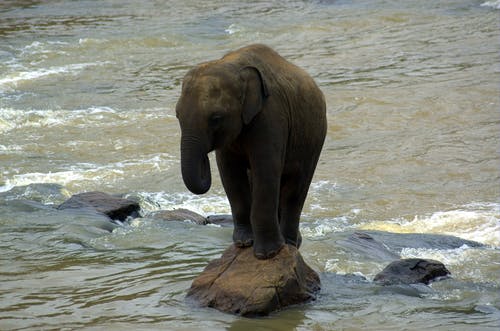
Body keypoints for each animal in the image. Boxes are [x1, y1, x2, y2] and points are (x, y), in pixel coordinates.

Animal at [177, 43, 328, 260]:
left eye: (216, 118)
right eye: (177, 115)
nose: (204, 159)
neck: (233, 66)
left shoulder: (271, 115)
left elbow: (265, 169)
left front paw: (267, 254)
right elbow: (230, 173)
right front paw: (243, 243)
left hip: (314, 139)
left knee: (296, 188)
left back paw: (290, 244)